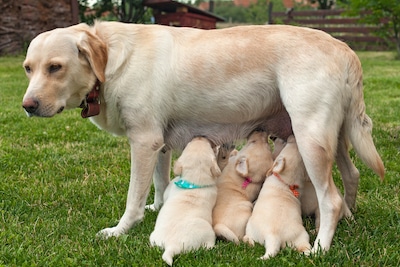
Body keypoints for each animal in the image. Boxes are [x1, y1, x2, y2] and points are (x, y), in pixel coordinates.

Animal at [21, 21, 384, 253]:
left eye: (55, 67)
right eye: (28, 68)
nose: (27, 106)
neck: (111, 59)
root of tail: (344, 49)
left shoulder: (143, 141)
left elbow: (133, 198)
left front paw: (120, 230)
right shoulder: (159, 144)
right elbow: (159, 183)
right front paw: (159, 206)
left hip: (311, 139)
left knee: (330, 198)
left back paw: (322, 245)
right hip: (334, 137)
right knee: (352, 176)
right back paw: (346, 220)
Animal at [150, 137, 220, 266]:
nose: (199, 136)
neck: (193, 181)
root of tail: (171, 246)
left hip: (153, 238)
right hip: (209, 233)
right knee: (208, 245)